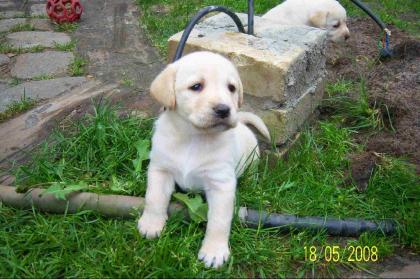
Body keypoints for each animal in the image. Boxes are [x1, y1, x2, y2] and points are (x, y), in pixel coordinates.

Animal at [138, 50, 270, 270]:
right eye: (196, 86)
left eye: (231, 88)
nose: (224, 109)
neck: (194, 137)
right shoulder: (160, 169)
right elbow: (154, 198)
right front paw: (151, 224)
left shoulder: (221, 184)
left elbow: (219, 221)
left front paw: (214, 251)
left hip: (252, 158)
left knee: (253, 172)